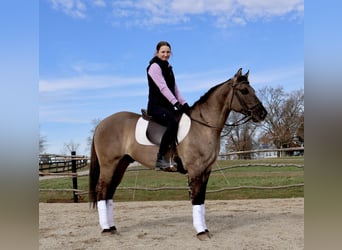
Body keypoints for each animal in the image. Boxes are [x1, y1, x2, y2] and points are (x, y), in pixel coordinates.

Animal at [88, 68, 268, 240]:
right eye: (244, 91)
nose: (262, 113)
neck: (203, 125)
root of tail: (101, 124)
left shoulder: (206, 170)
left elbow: (201, 200)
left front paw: (204, 229)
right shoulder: (196, 170)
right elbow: (197, 199)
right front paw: (201, 232)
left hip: (121, 164)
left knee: (109, 192)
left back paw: (112, 227)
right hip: (109, 165)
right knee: (102, 191)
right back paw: (106, 229)